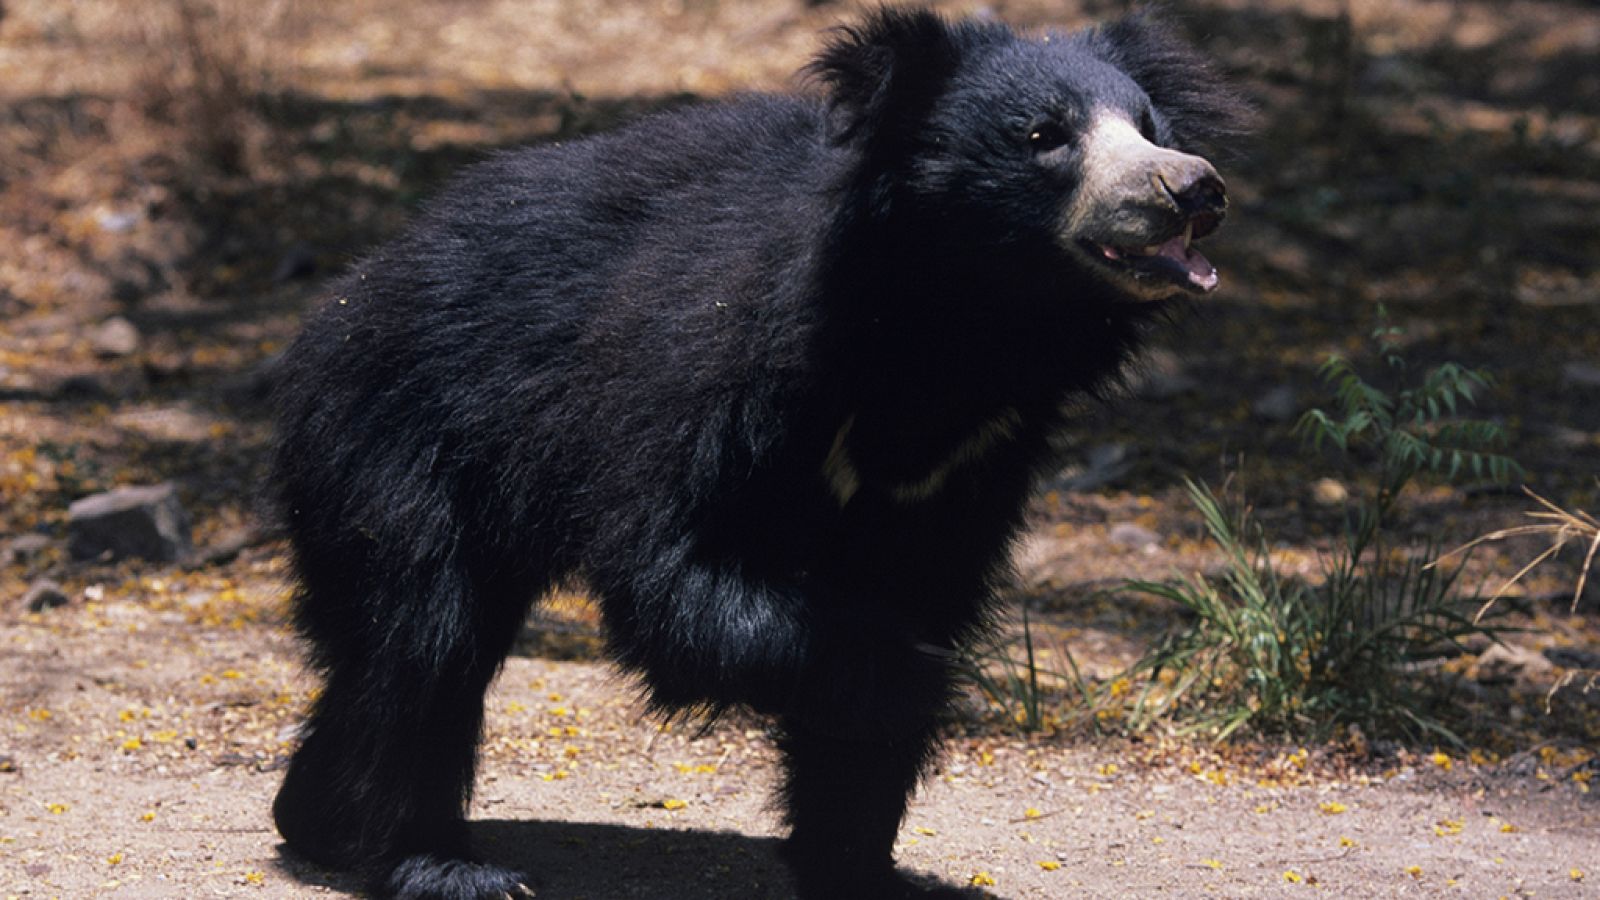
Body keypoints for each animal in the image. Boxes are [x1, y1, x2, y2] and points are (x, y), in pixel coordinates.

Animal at [268, 8, 1246, 899]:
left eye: (1151, 129)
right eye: (1045, 136)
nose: (1194, 188)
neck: (953, 331)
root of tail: (343, 300)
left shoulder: (974, 460)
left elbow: (919, 594)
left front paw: (866, 869)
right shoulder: (717, 367)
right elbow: (671, 577)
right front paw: (910, 684)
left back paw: (314, 820)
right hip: (400, 440)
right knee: (425, 636)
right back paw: (437, 863)